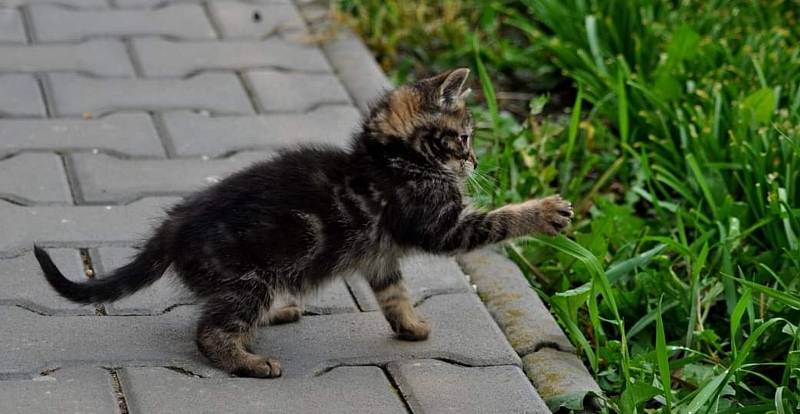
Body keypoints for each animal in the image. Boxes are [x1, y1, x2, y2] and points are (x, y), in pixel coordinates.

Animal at [36, 68, 568, 378]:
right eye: (464, 138)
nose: (475, 162)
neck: (392, 158)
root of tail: (175, 222)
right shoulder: (440, 225)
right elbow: (496, 222)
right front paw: (544, 210)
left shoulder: (380, 256)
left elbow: (394, 294)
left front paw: (411, 326)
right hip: (249, 278)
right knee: (210, 331)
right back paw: (249, 361)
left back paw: (275, 315)